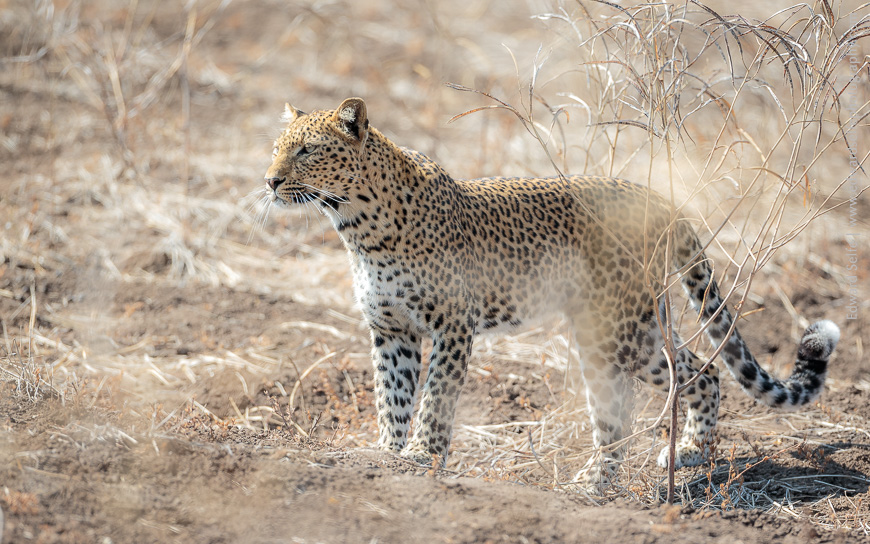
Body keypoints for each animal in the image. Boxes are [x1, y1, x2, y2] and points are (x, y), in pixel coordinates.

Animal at [264, 97, 840, 491]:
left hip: (614, 333)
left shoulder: (452, 326)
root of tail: (660, 199)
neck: (358, 226)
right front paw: (387, 453)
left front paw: (422, 457)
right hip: (633, 327)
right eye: (276, 148)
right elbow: (393, 396)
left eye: (307, 151)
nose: (269, 181)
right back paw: (686, 455)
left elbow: (435, 398)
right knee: (698, 371)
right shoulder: (391, 330)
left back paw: (598, 480)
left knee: (642, 401)